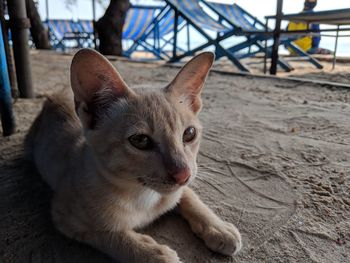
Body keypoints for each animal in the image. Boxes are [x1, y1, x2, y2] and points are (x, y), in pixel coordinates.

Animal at [24, 49, 242, 263]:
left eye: (189, 134)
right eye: (140, 140)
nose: (183, 175)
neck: (144, 197)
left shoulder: (180, 188)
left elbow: (190, 197)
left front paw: (218, 227)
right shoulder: (64, 216)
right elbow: (107, 233)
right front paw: (153, 253)